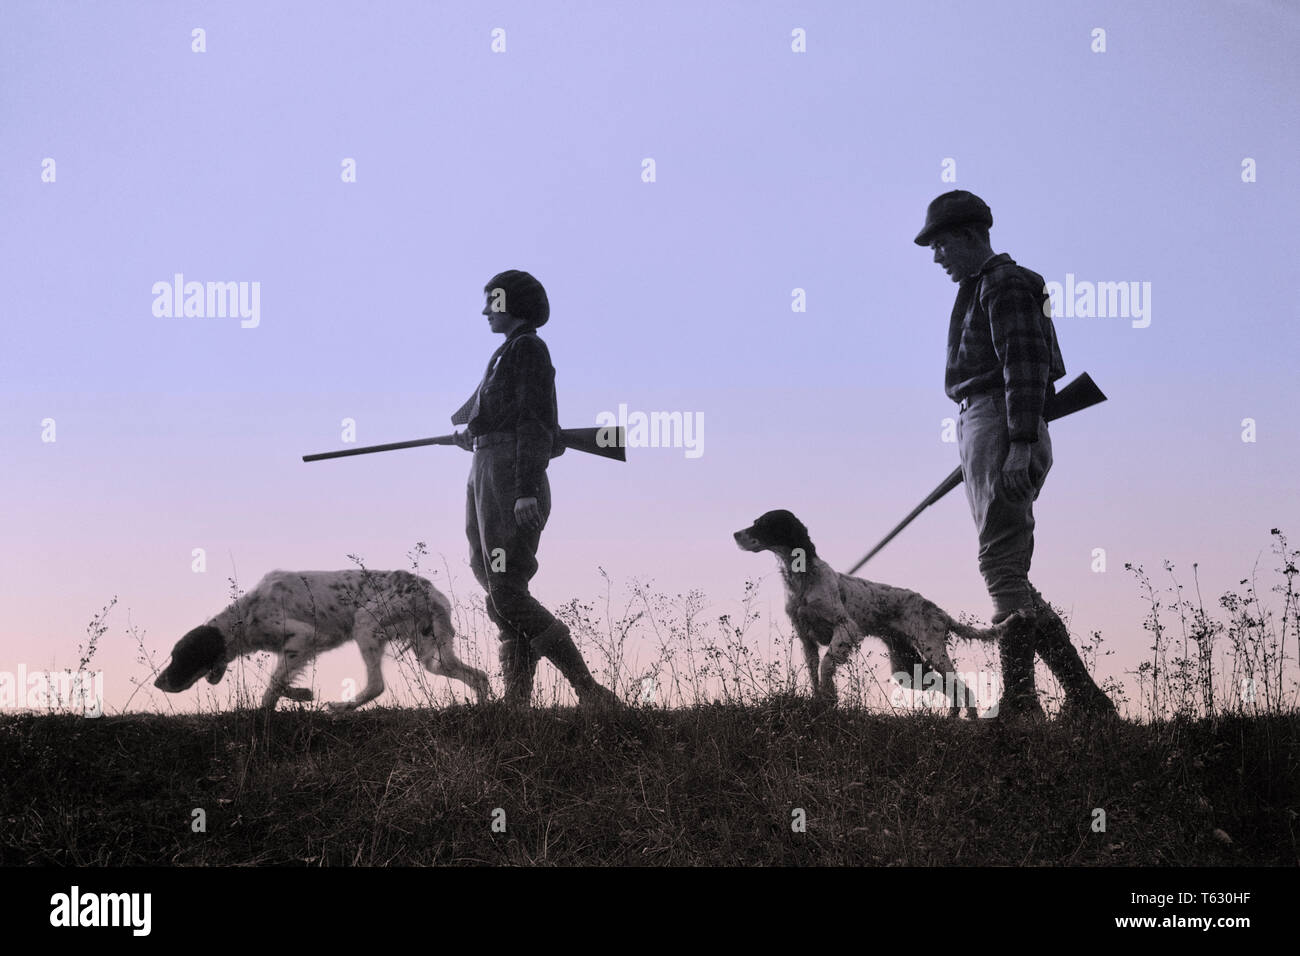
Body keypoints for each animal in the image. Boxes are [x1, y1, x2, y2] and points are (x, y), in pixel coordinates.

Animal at [156, 567, 491, 712]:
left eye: (179, 657)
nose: (159, 683)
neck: (247, 614)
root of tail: (430, 591)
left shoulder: (303, 637)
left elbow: (273, 685)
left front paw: (286, 700)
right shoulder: (297, 648)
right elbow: (278, 683)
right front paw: (298, 694)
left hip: (365, 623)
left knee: (376, 685)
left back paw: (343, 708)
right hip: (431, 653)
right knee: (480, 677)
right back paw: (482, 706)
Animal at [738, 512, 998, 712]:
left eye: (763, 523)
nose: (735, 535)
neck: (803, 579)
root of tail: (938, 610)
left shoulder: (847, 628)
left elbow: (826, 665)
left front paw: (830, 697)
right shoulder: (806, 640)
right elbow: (814, 672)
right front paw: (821, 701)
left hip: (932, 648)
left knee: (963, 687)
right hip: (907, 665)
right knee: (949, 687)